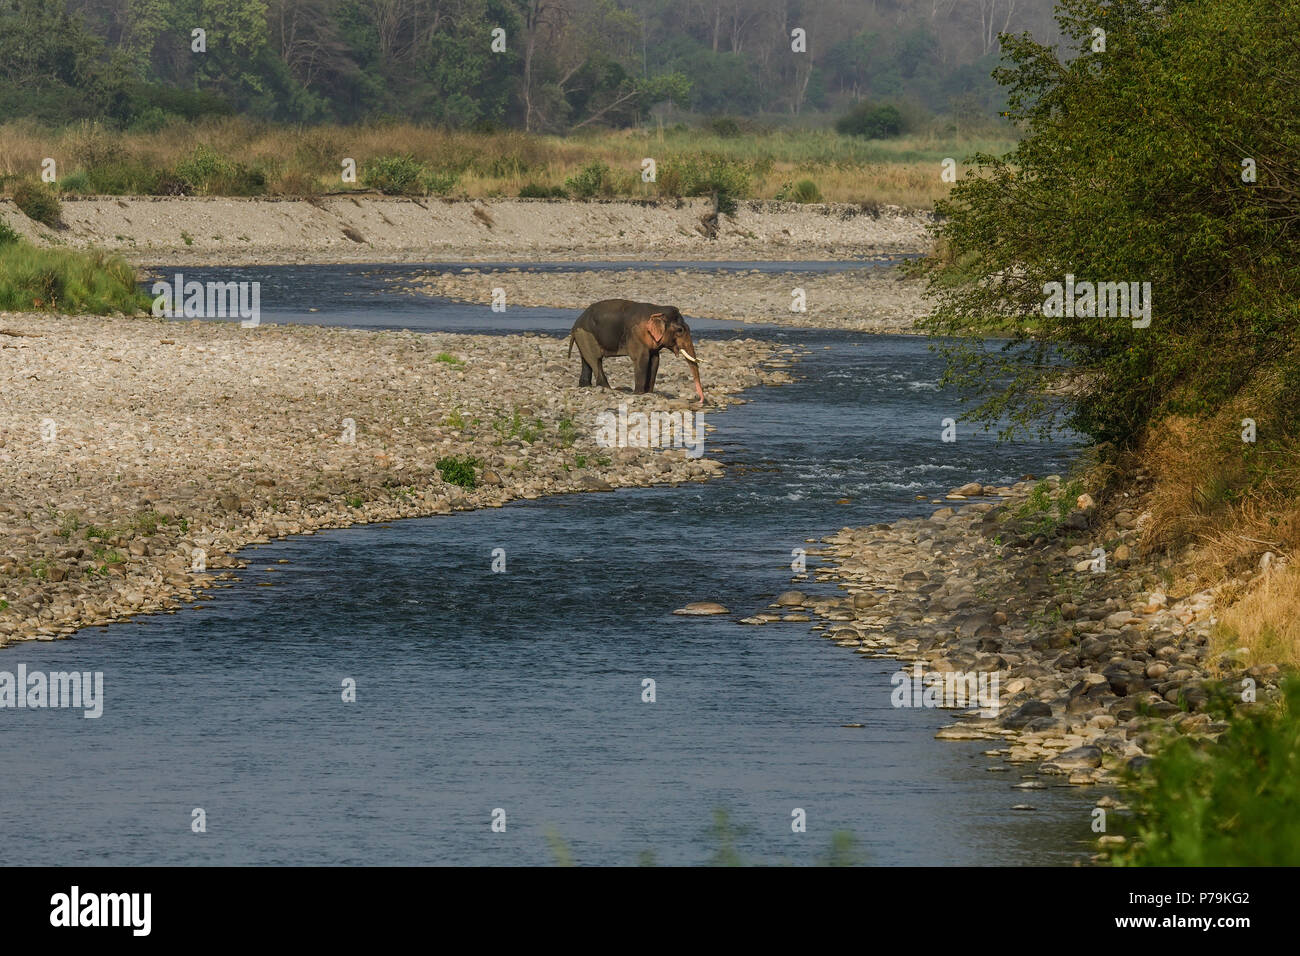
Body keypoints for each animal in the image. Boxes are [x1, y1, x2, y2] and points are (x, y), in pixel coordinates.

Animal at [566, 300, 707, 403]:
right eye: (680, 330)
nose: (700, 400)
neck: (658, 310)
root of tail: (575, 323)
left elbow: (655, 360)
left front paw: (649, 393)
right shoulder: (636, 335)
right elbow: (641, 359)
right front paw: (638, 394)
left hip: (583, 337)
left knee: (586, 360)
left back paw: (585, 386)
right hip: (587, 335)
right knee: (595, 360)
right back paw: (607, 388)